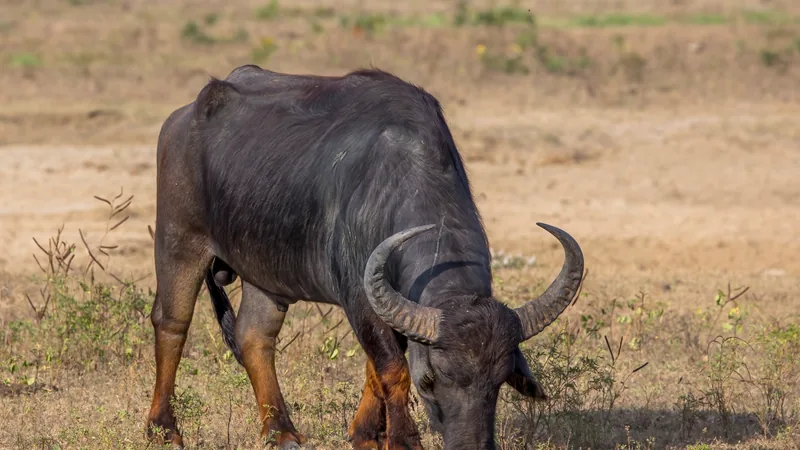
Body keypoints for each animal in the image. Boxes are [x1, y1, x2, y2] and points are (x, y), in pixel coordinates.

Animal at [146, 64, 584, 449]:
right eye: (430, 380)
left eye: (497, 383)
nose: (469, 444)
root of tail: (183, 117)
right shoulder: (359, 297)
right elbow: (392, 368)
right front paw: (403, 439)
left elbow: (376, 367)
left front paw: (366, 434)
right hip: (178, 239)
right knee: (172, 323)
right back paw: (164, 430)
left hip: (264, 273)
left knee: (254, 336)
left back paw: (281, 432)